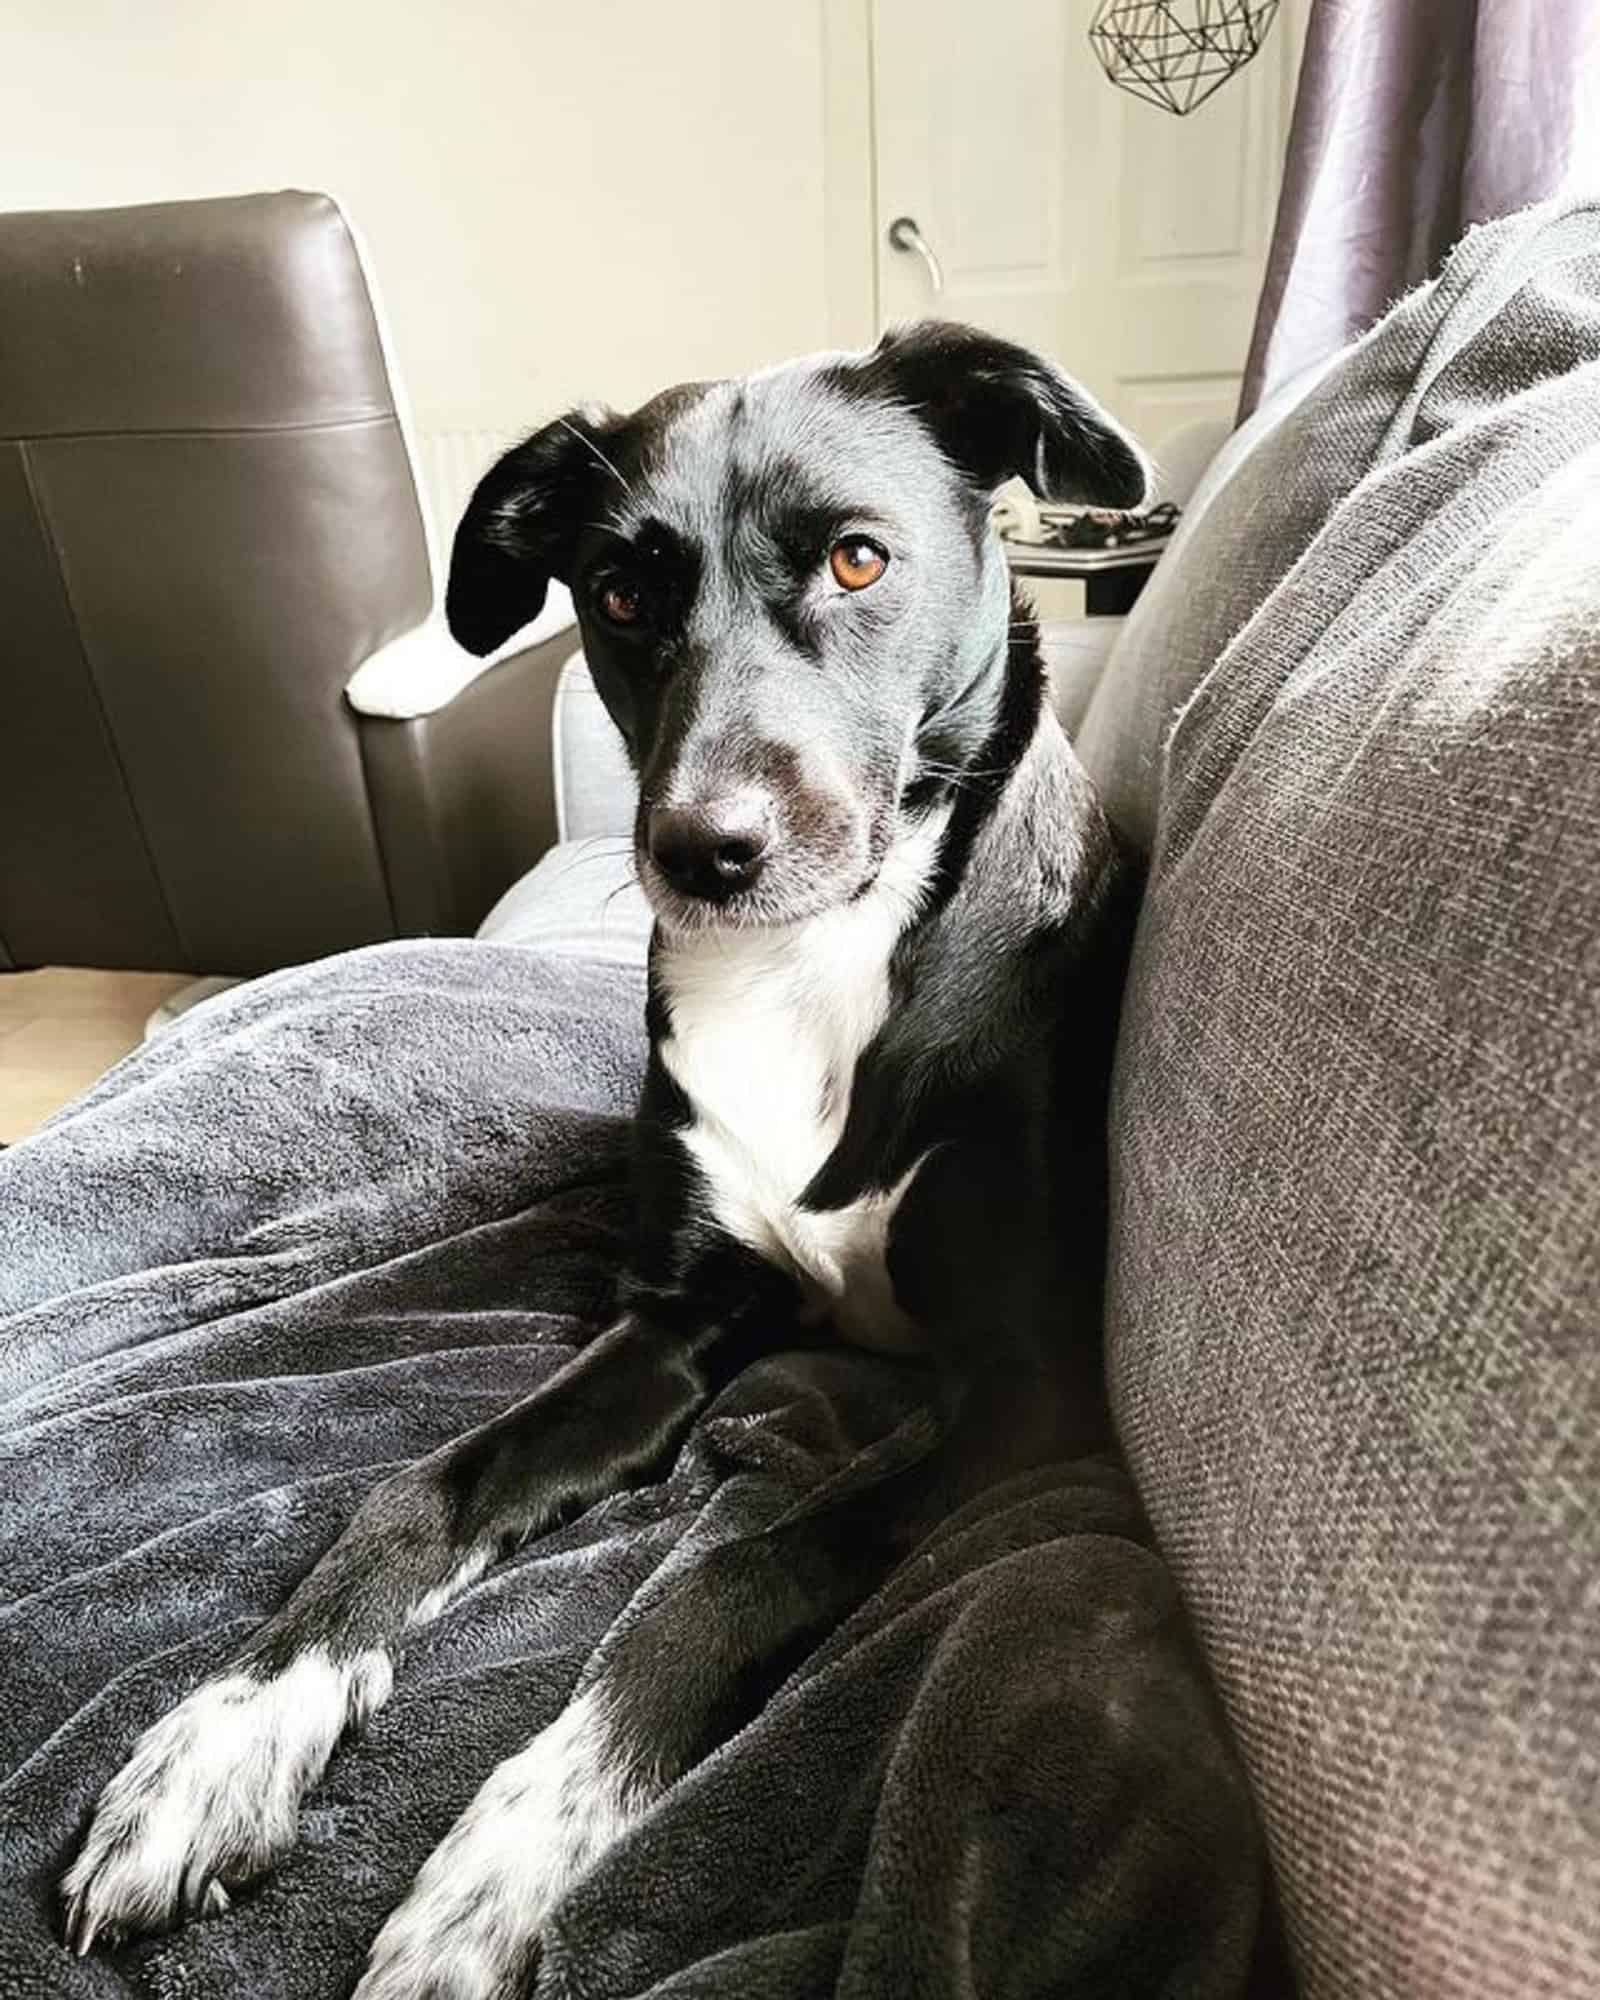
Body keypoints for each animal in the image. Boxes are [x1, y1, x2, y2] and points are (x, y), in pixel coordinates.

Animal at [65, 324, 1152, 2000]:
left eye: (857, 559)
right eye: (623, 594)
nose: (704, 851)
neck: (810, 971)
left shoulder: (1027, 1393)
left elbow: (724, 1573)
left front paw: (512, 1855)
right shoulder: (675, 1320)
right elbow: (419, 1494)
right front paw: (223, 1740)